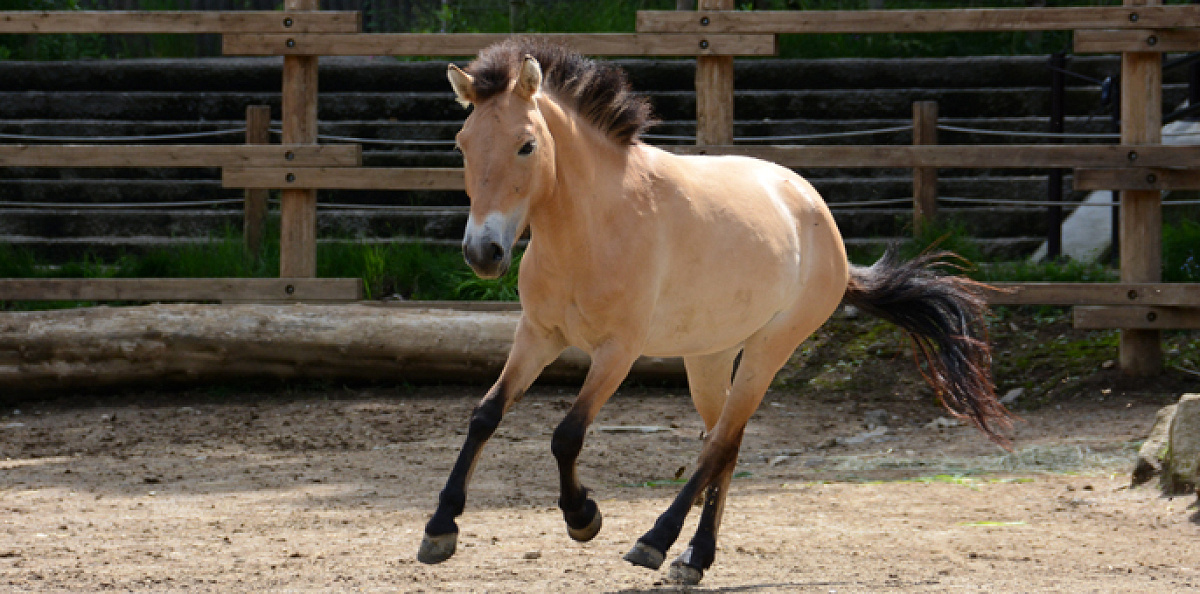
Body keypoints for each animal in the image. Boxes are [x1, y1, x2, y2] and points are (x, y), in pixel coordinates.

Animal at [417, 39, 1008, 588]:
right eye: (462, 144)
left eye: (527, 145)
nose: (483, 253)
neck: (593, 223)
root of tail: (817, 213)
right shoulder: (538, 335)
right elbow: (485, 415)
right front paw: (440, 529)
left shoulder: (617, 352)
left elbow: (567, 434)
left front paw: (583, 517)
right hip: (709, 356)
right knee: (724, 443)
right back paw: (695, 558)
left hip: (768, 350)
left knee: (719, 443)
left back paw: (655, 542)